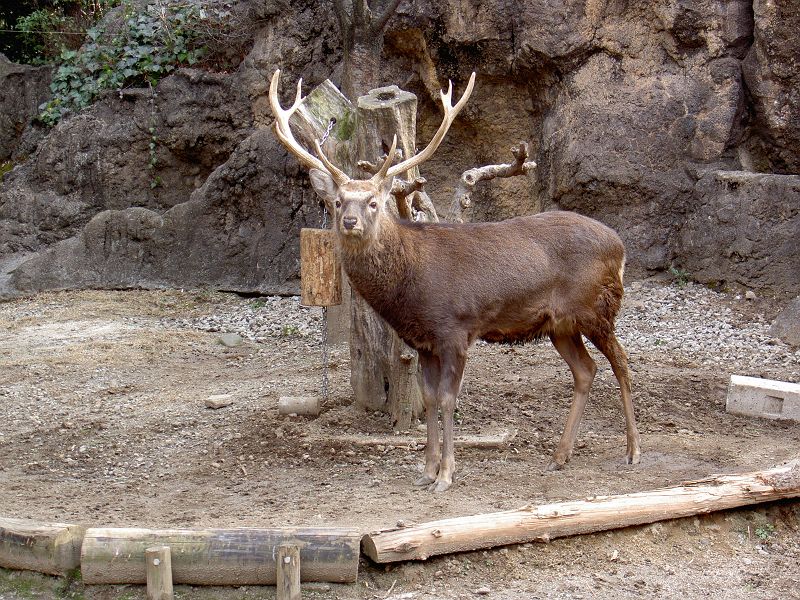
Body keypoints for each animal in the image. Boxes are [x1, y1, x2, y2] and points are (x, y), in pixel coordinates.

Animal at [272, 70, 640, 492]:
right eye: (337, 202)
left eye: (373, 202)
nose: (349, 221)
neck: (408, 286)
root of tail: (620, 246)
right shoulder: (423, 340)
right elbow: (430, 398)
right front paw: (426, 470)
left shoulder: (456, 329)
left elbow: (449, 399)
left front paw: (446, 474)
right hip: (560, 324)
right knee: (586, 370)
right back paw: (560, 456)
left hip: (597, 306)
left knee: (622, 362)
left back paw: (632, 450)